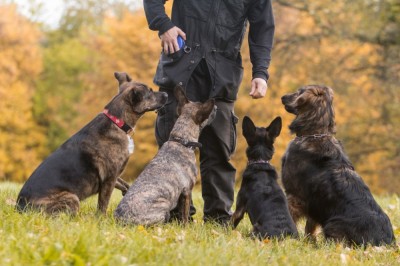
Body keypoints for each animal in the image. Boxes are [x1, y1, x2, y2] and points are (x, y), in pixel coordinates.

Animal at [16, 71, 167, 215]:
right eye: (151, 91)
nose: (166, 93)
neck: (117, 122)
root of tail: (20, 206)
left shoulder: (114, 175)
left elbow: (123, 184)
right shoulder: (110, 177)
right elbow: (103, 203)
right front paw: (102, 219)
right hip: (72, 198)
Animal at [114, 85, 217, 224]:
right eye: (208, 111)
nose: (216, 107)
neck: (181, 140)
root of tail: (123, 220)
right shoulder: (186, 191)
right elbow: (184, 215)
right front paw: (186, 226)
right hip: (164, 206)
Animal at [280, 85, 396, 245]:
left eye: (299, 91)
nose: (282, 97)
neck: (314, 134)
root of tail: (385, 242)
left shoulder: (295, 195)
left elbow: (290, 217)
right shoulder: (315, 203)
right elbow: (310, 227)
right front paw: (309, 243)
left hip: (332, 225)